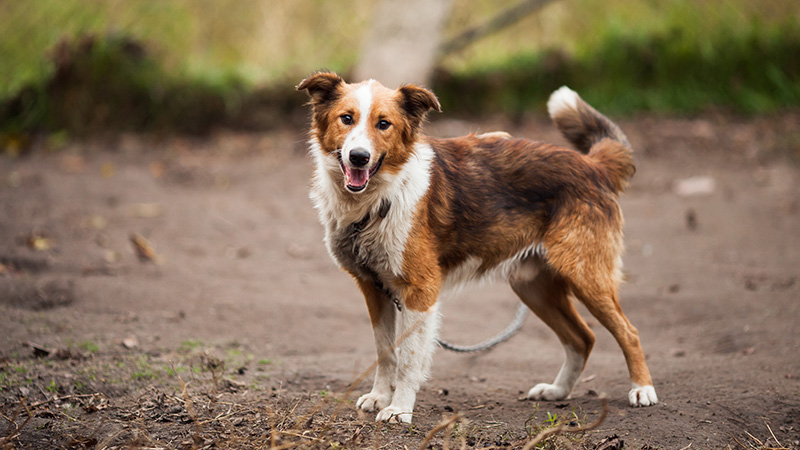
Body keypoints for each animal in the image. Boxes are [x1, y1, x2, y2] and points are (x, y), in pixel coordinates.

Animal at [296, 72, 660, 424]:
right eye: (347, 118)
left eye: (383, 124)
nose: (358, 157)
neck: (379, 199)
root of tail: (592, 165)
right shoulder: (374, 288)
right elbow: (386, 351)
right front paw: (380, 397)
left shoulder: (420, 291)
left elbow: (409, 359)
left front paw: (399, 409)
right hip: (533, 286)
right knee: (582, 337)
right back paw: (558, 391)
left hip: (585, 275)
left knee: (628, 332)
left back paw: (642, 390)